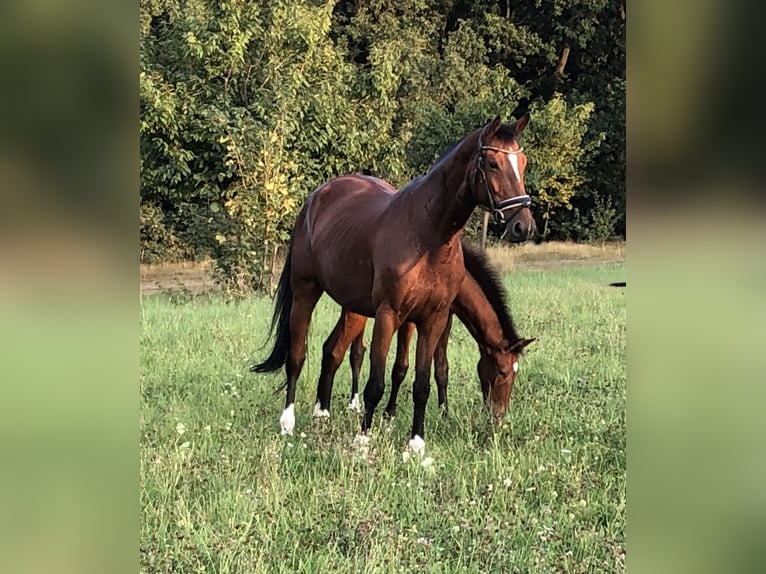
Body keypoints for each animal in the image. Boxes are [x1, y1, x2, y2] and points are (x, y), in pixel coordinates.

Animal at [252, 113, 536, 454]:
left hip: (353, 306)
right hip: (305, 292)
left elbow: (420, 379)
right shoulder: (390, 315)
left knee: (334, 350)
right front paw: (363, 439)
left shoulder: (432, 318)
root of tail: (316, 198)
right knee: (297, 354)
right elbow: (378, 380)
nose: (523, 225)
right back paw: (288, 423)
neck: (429, 237)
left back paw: (323, 413)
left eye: (523, 162)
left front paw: (415, 443)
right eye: (493, 163)